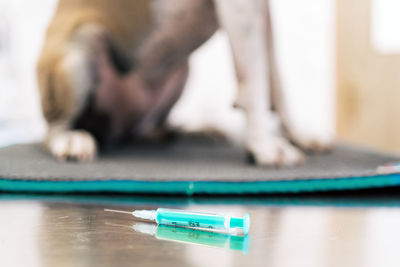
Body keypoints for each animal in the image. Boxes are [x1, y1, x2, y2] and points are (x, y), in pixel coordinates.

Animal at [36, 0, 332, 166]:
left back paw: (201, 131)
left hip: (182, 69)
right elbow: (255, 80)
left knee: (155, 126)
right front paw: (264, 146)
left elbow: (275, 78)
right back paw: (72, 140)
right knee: (53, 129)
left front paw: (299, 135)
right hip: (81, 46)